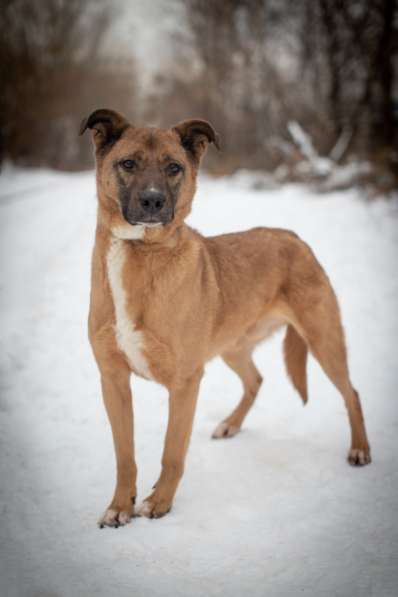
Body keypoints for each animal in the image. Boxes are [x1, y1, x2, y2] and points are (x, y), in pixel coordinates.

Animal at [79, 107, 372, 528]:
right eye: (128, 163)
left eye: (173, 167)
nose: (152, 202)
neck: (141, 253)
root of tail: (293, 237)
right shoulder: (113, 380)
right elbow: (125, 456)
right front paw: (121, 505)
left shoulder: (185, 383)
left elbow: (172, 453)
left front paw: (160, 502)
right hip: (232, 347)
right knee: (256, 380)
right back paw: (231, 424)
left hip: (323, 339)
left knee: (352, 393)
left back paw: (360, 450)